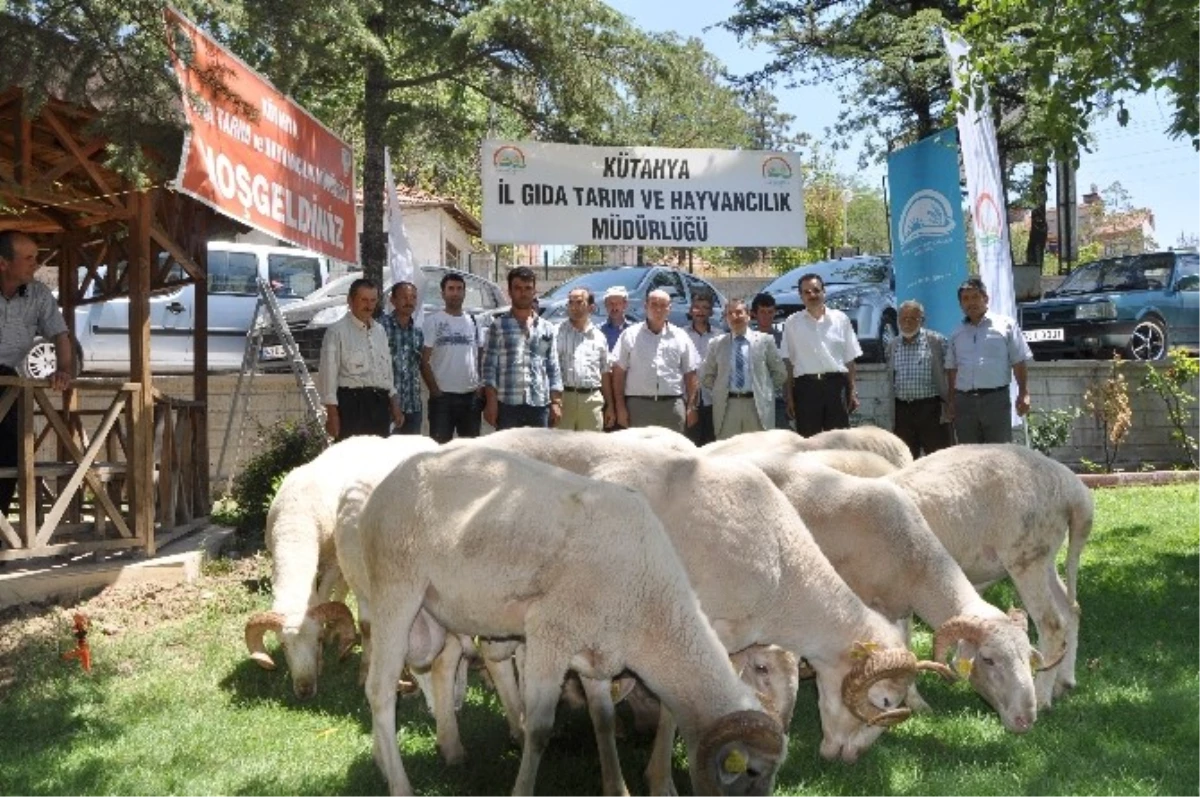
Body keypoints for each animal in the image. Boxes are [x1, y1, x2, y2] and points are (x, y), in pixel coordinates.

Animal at [242, 432, 436, 700]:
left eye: (317, 640)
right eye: (283, 645)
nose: (304, 690)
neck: (296, 522)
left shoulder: (333, 561)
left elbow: (323, 595)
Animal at [348, 444, 782, 797]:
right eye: (752, 772)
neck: (651, 606)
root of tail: (388, 481)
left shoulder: (596, 650)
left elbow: (603, 719)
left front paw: (617, 788)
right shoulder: (550, 633)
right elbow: (540, 729)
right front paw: (523, 788)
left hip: (432, 613)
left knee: (433, 666)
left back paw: (414, 758)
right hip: (395, 592)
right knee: (380, 690)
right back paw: (400, 784)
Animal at [739, 453, 1041, 734]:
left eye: (1029, 657)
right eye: (989, 659)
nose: (1026, 721)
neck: (916, 559)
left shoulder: (900, 607)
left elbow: (905, 646)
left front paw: (917, 702)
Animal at [888, 441, 1094, 710]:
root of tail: (1074, 490)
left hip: (1026, 555)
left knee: (1052, 623)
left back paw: (1041, 697)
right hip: (1044, 555)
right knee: (1071, 611)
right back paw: (1064, 682)